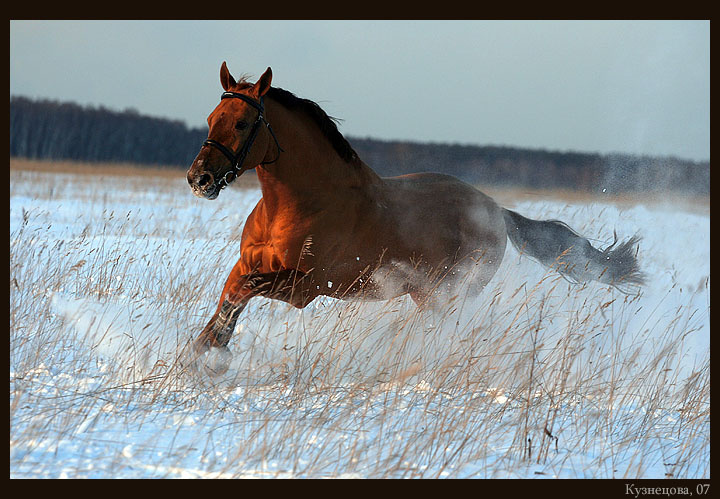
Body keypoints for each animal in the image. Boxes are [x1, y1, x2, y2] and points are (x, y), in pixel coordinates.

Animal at [185, 63, 644, 374]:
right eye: (211, 119)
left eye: (243, 123)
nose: (199, 178)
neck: (296, 205)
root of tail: (496, 212)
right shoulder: (248, 263)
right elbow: (231, 292)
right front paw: (204, 348)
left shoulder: (306, 287)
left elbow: (244, 290)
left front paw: (214, 354)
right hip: (427, 292)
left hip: (449, 289)